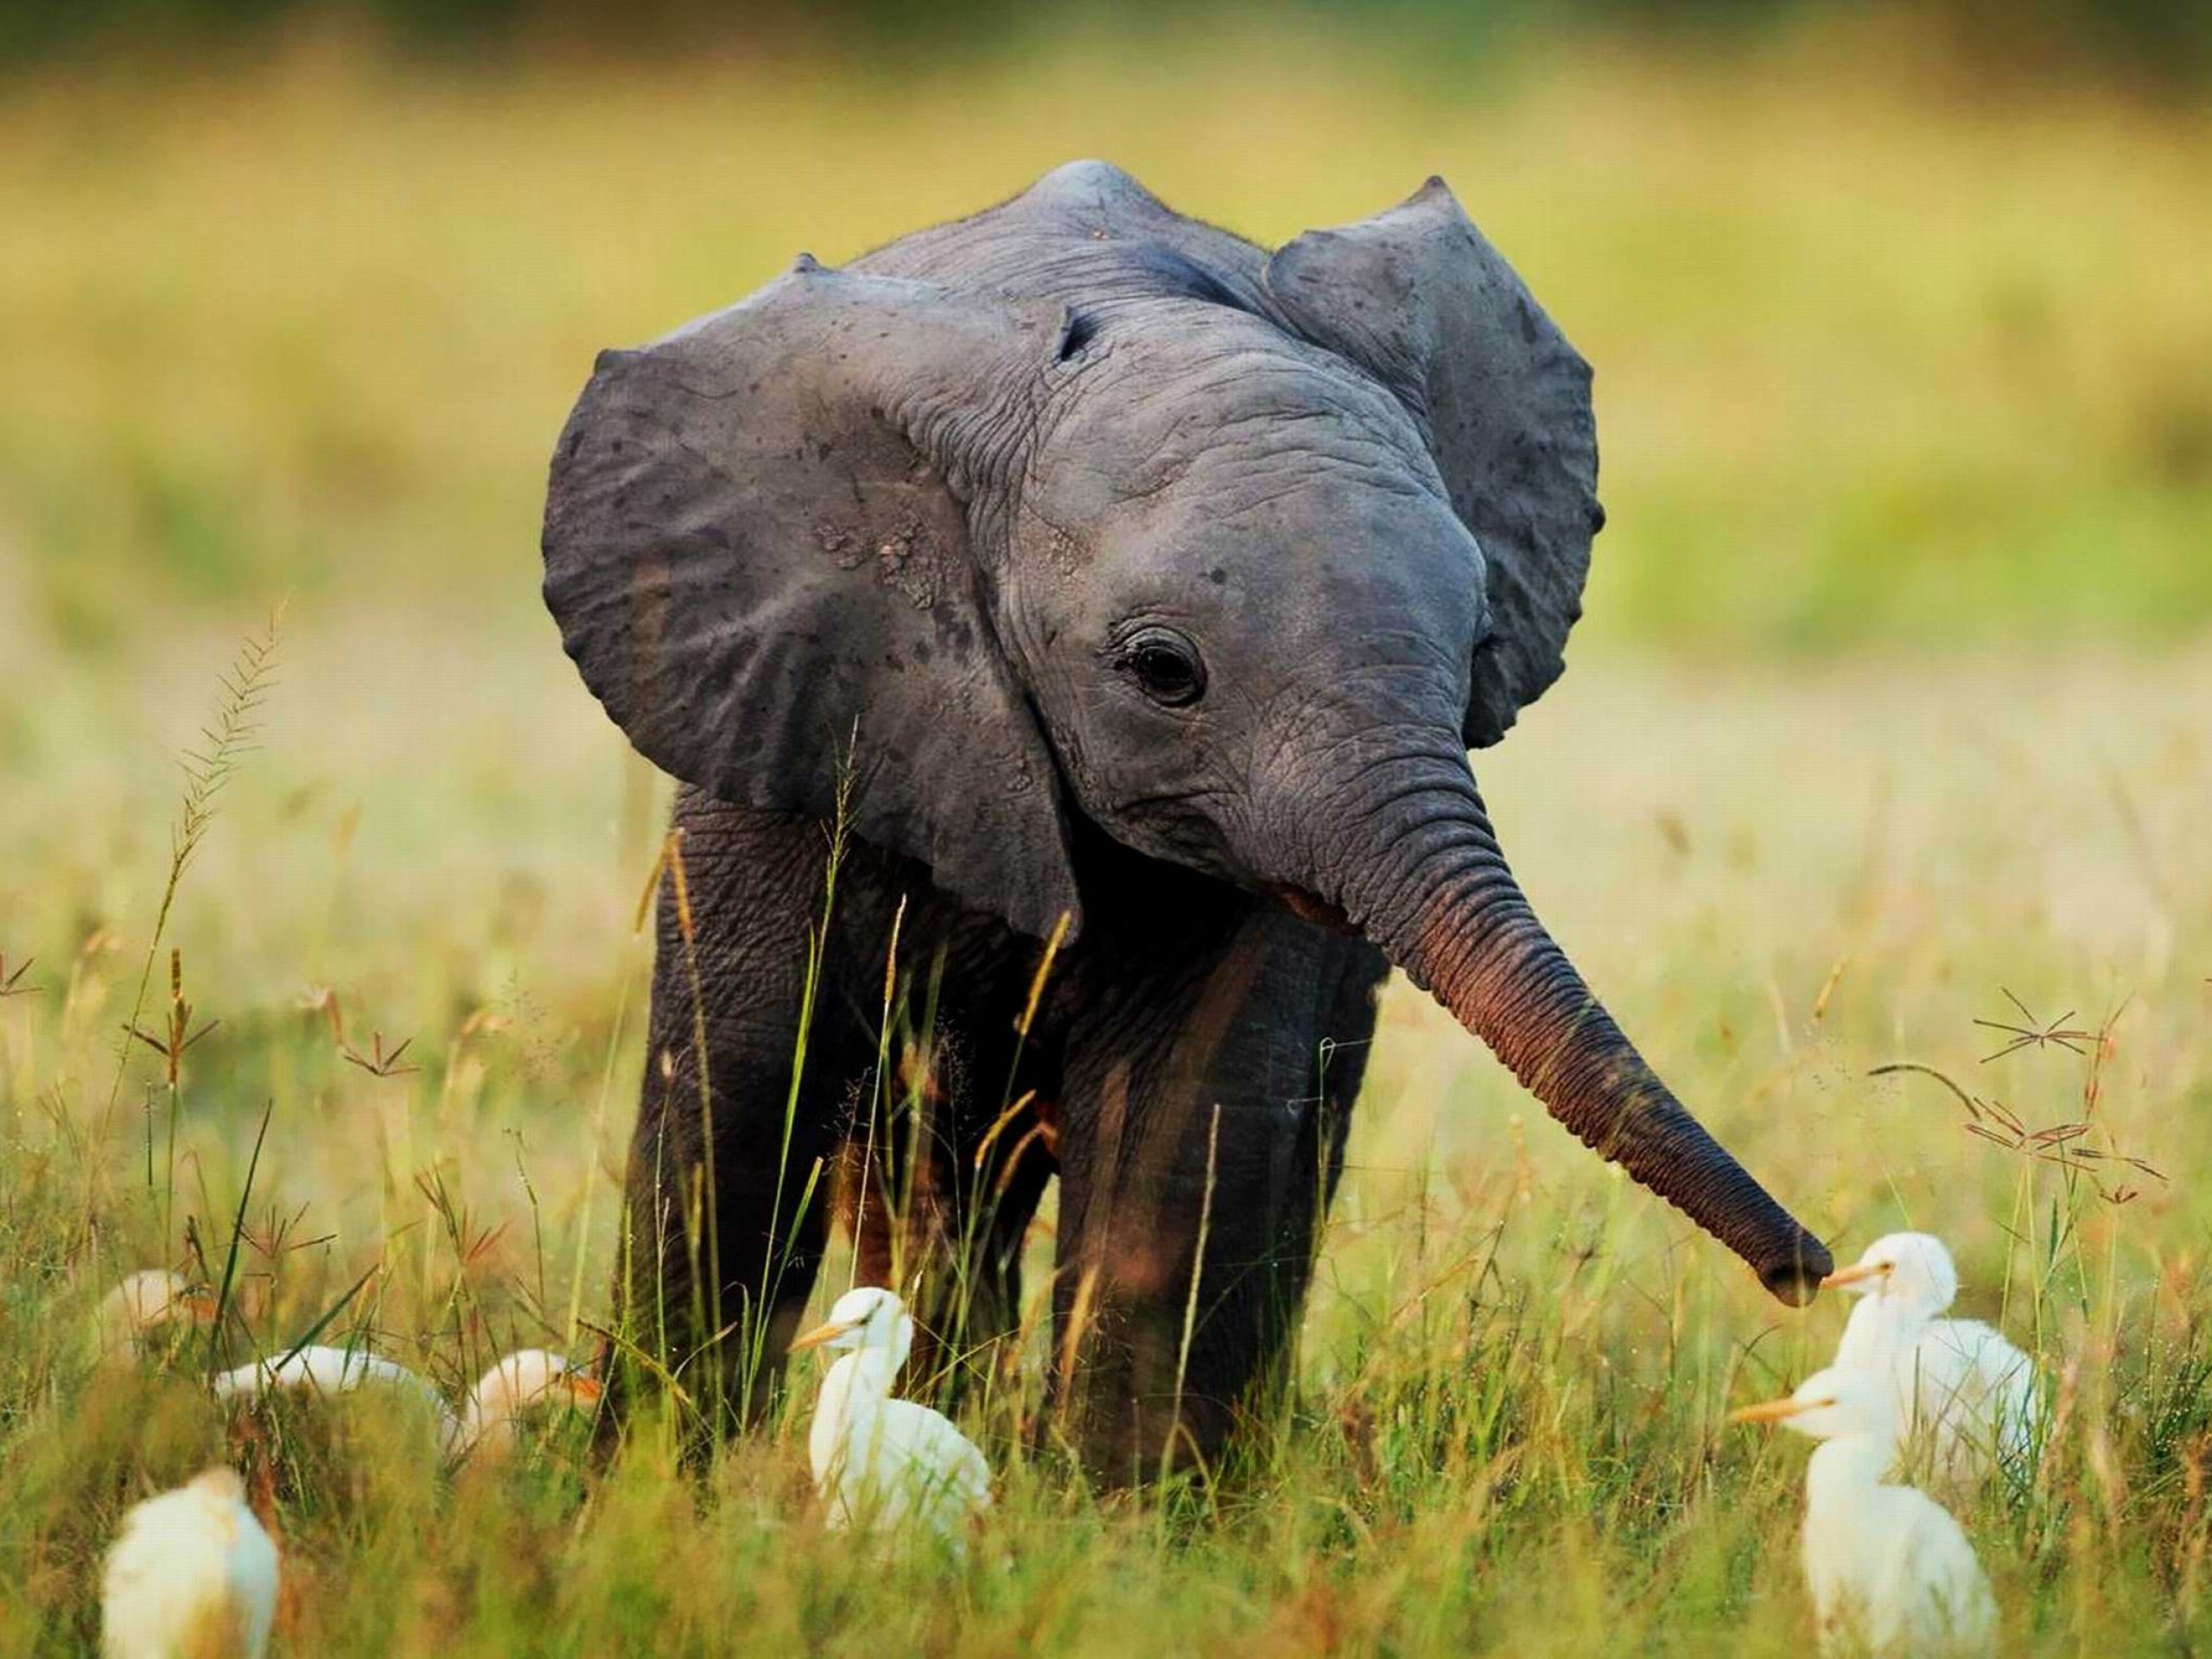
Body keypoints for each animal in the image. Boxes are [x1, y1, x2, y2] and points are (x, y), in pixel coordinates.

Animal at [543, 159, 1822, 1478]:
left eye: (1476, 650)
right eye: (1164, 672)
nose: (1808, 1273)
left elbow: (1184, 1124)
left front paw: (1123, 1517)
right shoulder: (789, 700)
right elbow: (741, 1095)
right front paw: (649, 1491)